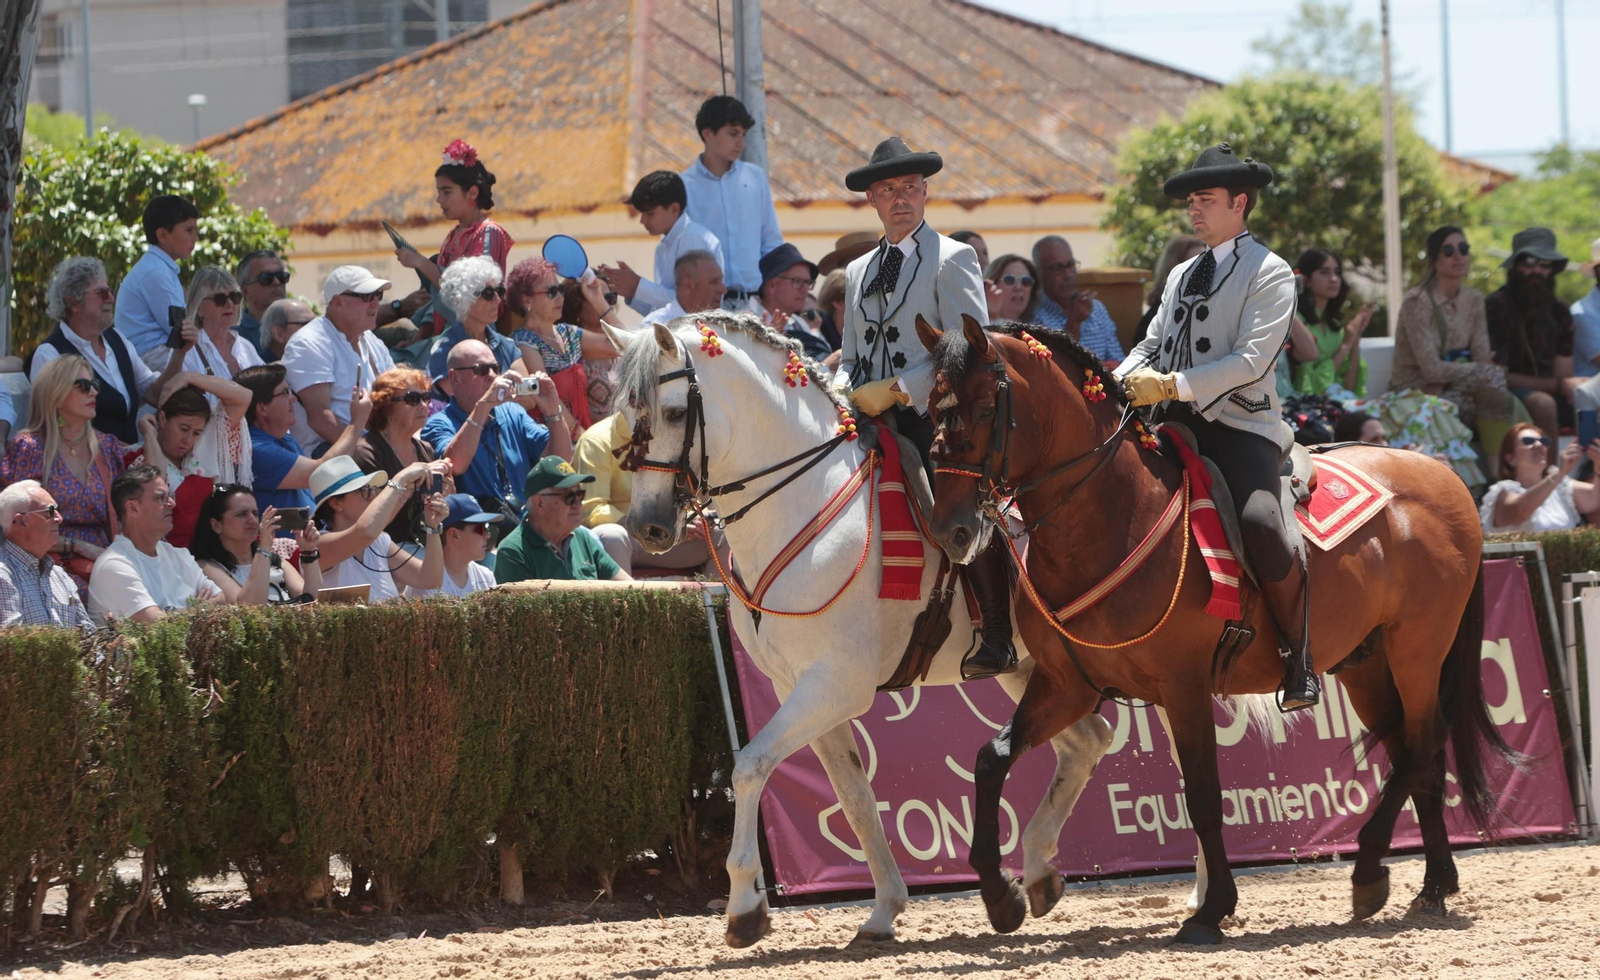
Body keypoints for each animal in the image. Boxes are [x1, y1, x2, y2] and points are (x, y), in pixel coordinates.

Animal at [605, 312, 1115, 948]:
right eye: (627, 411)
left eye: (674, 412)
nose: (646, 527)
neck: (805, 504)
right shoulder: (799, 689)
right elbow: (853, 798)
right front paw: (883, 909)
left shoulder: (833, 685)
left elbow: (750, 766)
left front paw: (745, 906)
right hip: (1037, 672)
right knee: (1087, 740)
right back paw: (1040, 876)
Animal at [914, 315, 1515, 944]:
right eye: (930, 408)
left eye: (986, 407)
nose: (951, 529)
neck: (1112, 515)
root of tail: (1441, 472)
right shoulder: (1066, 685)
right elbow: (991, 759)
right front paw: (999, 895)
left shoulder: (1183, 688)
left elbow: (1202, 797)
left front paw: (1212, 909)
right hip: (1366, 665)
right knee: (1413, 753)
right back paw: (1430, 882)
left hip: (1417, 650)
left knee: (1422, 745)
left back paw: (1377, 865)